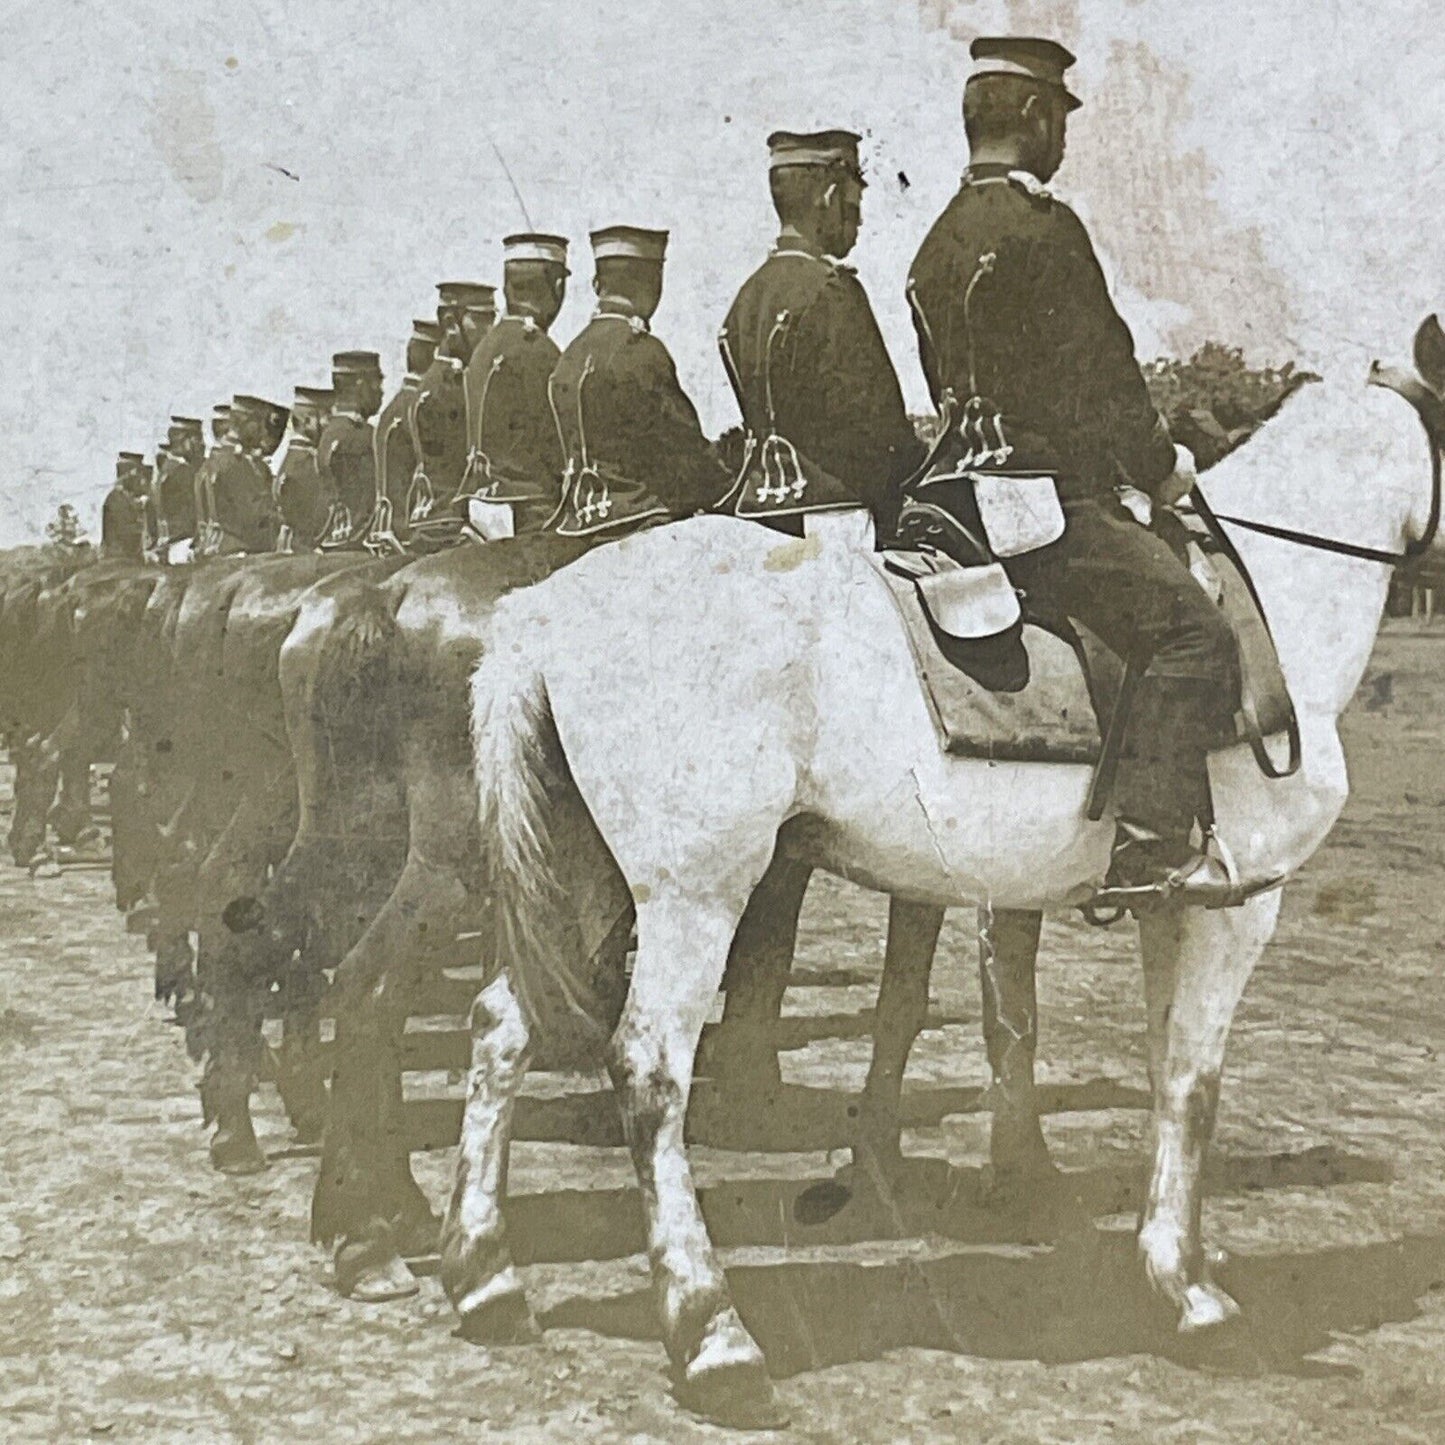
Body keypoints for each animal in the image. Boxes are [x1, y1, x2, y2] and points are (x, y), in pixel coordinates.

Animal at [445, 328, 1439, 1421]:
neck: (1274, 597)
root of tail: (544, 606)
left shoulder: (1172, 905)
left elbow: (1159, 1072)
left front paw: (1160, 1262)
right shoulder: (1239, 905)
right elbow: (1192, 1085)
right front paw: (1193, 1296)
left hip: (584, 881)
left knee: (501, 1029)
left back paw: (485, 1276)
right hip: (691, 893)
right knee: (649, 1070)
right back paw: (711, 1335)